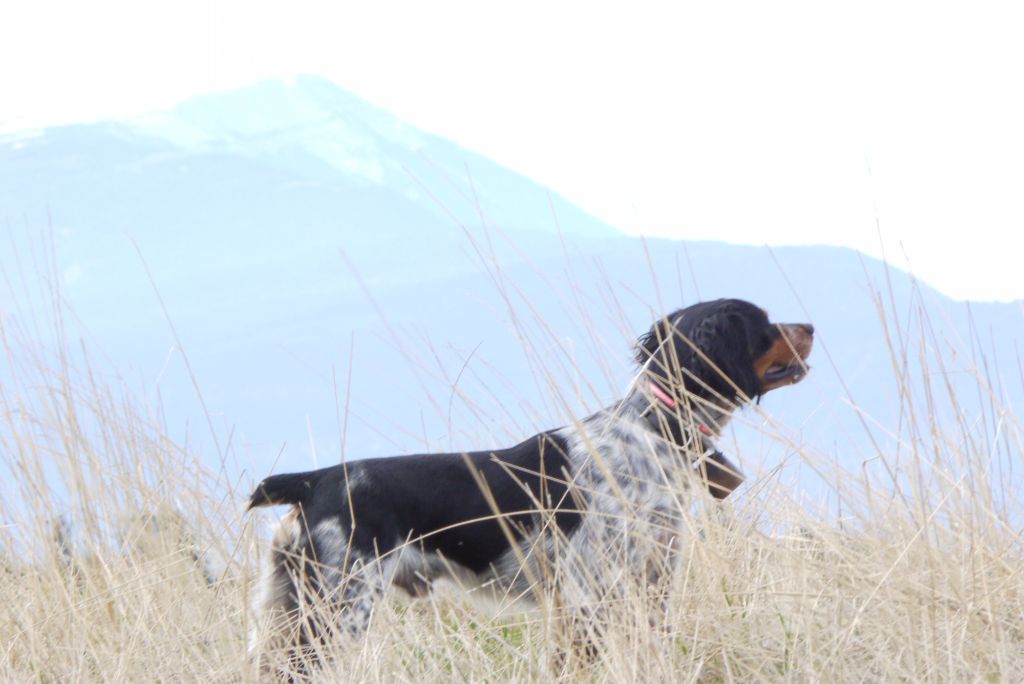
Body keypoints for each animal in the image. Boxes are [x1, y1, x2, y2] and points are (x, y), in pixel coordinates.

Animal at [247, 296, 815, 671]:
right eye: (764, 323)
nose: (810, 324)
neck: (651, 428)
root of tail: (313, 480)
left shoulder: (650, 583)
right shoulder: (589, 592)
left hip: (291, 605)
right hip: (337, 605)